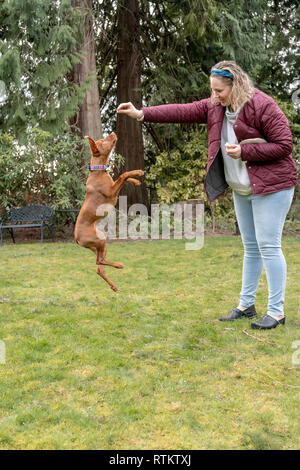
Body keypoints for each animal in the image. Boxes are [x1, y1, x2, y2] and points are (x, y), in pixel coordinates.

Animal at [75, 132, 145, 292]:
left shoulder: (114, 189)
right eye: (103, 141)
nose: (112, 133)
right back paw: (119, 265)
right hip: (100, 241)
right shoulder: (112, 192)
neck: (98, 170)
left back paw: (113, 285)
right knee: (99, 262)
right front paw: (138, 172)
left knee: (99, 267)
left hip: (100, 245)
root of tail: (76, 239)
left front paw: (135, 181)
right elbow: (123, 175)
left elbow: (124, 177)